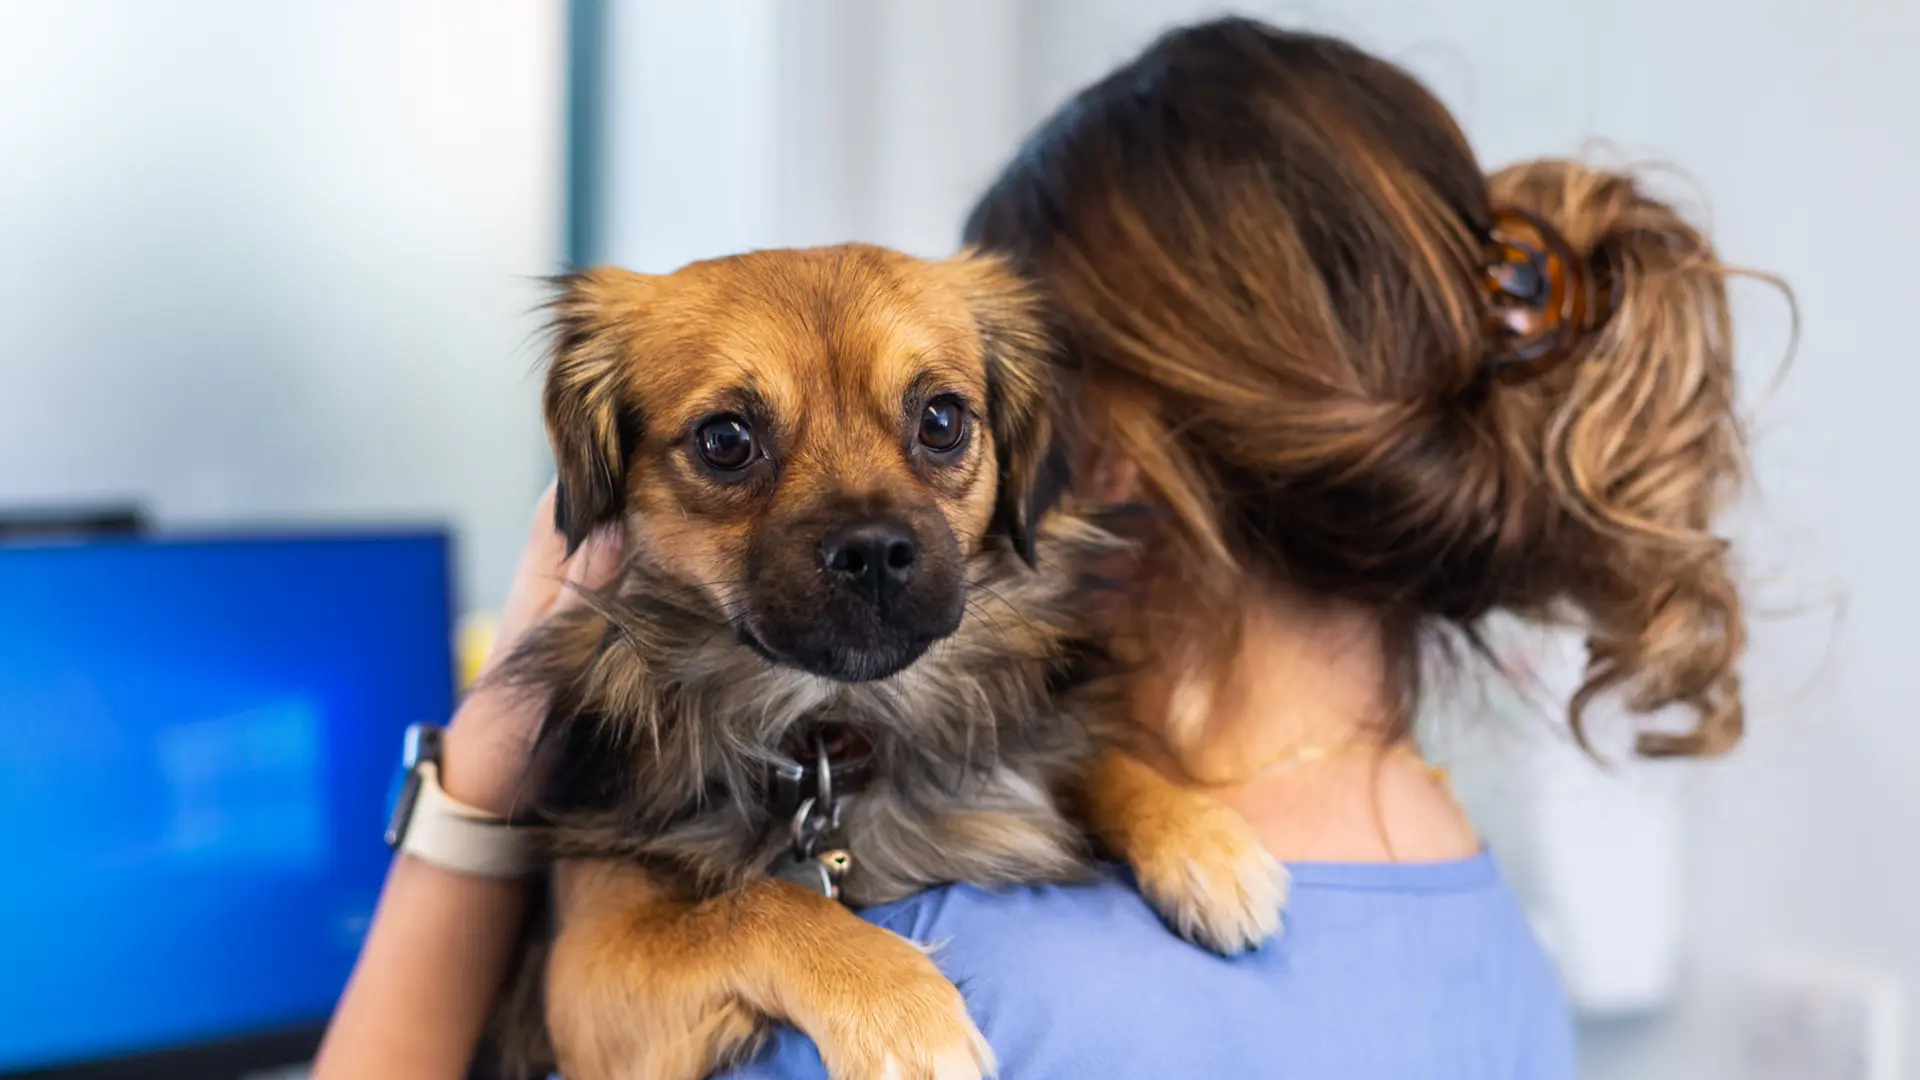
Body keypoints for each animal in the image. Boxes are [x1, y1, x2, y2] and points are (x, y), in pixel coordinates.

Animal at [487, 244, 1282, 1076]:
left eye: (941, 420)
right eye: (726, 440)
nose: (872, 551)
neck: (832, 729)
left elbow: (1079, 754)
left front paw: (1204, 839)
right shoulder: (591, 963)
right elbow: (762, 902)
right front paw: (901, 1011)